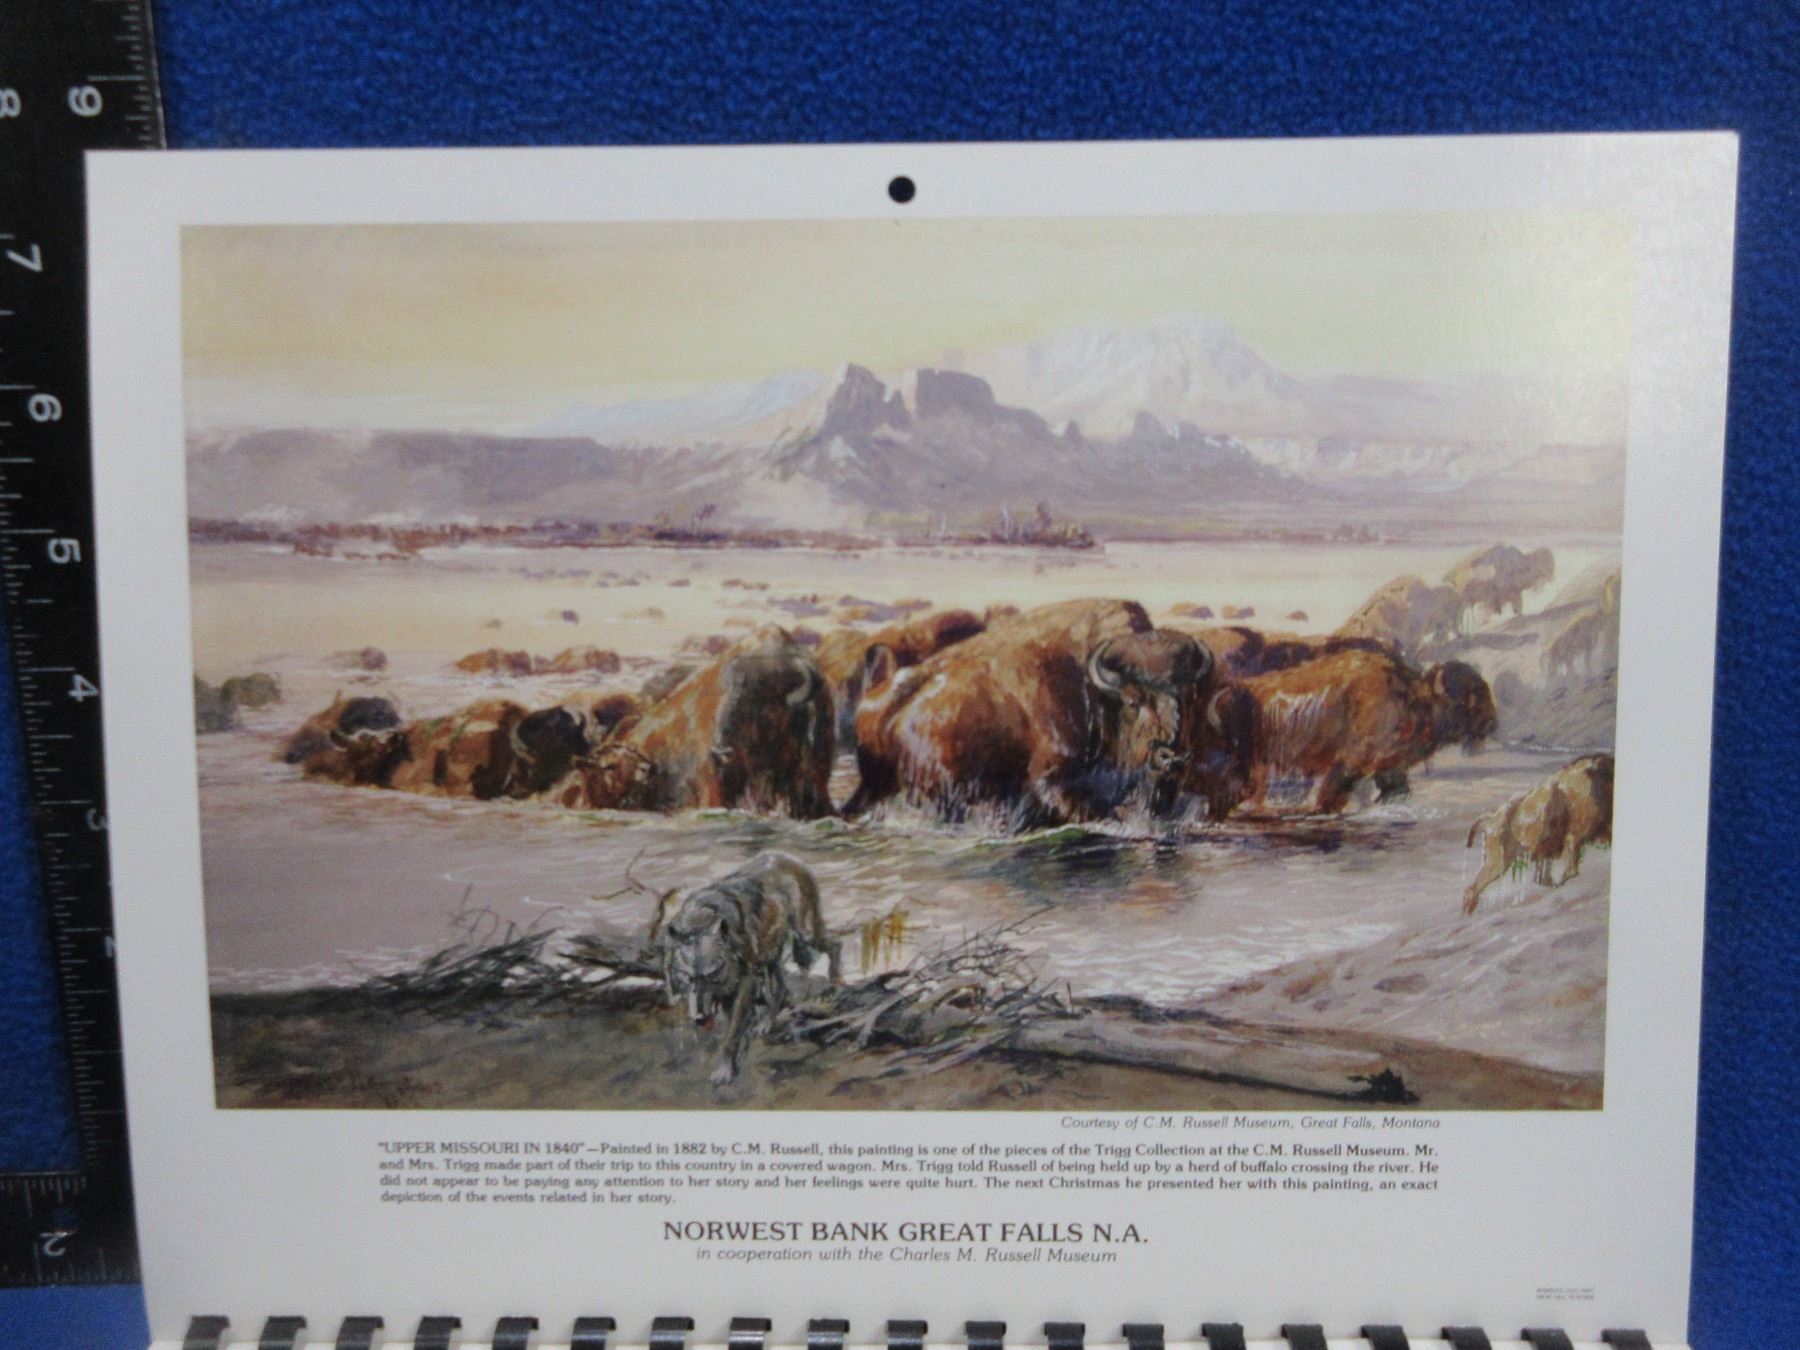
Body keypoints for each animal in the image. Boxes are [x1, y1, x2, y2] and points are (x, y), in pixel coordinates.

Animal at [844, 598, 1214, 829]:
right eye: (1133, 700)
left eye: (1189, 696)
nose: (1171, 755)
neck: (1091, 692)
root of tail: (874, 697)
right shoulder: (1052, 783)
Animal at [1239, 647, 1497, 814]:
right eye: (1470, 696)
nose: (1491, 721)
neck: (1411, 697)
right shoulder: (1348, 764)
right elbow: (1328, 798)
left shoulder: (1388, 767)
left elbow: (1397, 791)